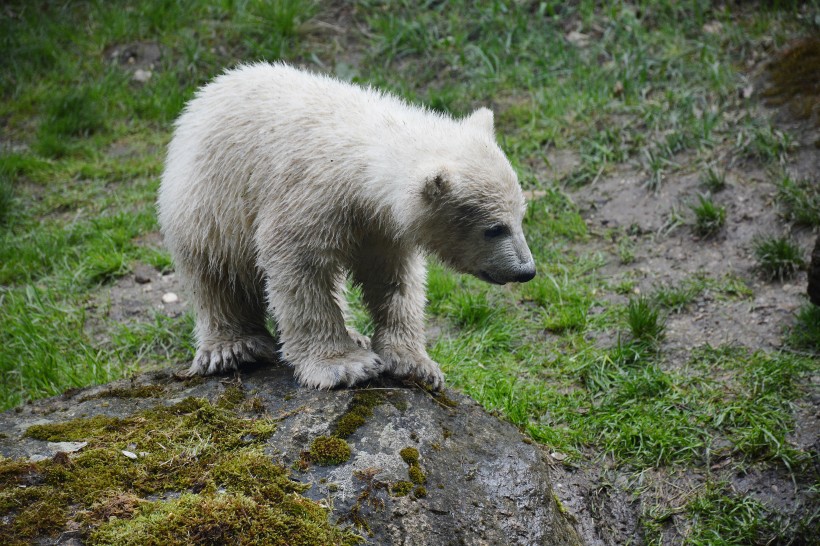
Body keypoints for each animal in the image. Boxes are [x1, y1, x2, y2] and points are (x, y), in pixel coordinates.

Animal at [157, 62, 536, 386]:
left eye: (521, 216)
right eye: (494, 228)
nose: (526, 270)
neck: (365, 156)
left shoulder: (381, 227)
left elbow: (395, 281)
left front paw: (414, 363)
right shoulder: (309, 198)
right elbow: (301, 272)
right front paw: (343, 366)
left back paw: (354, 333)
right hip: (210, 202)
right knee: (215, 273)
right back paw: (232, 348)